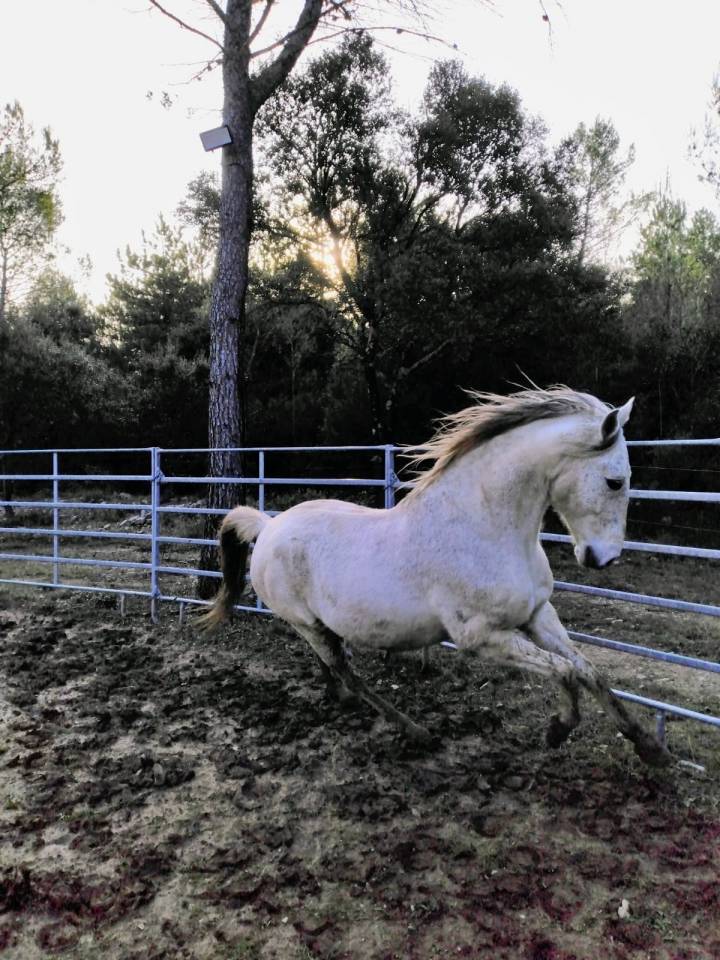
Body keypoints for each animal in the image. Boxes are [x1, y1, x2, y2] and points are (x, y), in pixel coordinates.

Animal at [201, 387, 670, 767]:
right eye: (615, 481)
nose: (604, 558)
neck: (484, 528)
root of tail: (268, 525)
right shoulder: (481, 637)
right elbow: (566, 672)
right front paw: (558, 729)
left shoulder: (538, 614)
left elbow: (589, 670)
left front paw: (649, 746)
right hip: (304, 623)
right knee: (345, 669)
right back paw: (413, 730)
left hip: (319, 624)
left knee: (334, 666)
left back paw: (345, 701)